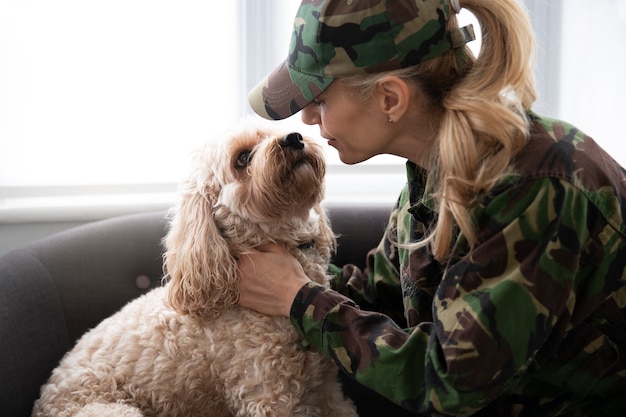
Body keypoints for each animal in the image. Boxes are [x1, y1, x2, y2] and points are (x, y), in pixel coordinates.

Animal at [33, 123, 356, 416]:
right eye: (242, 158)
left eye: (273, 132)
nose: (294, 138)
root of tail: (42, 400)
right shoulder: (269, 396)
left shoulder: (325, 388)